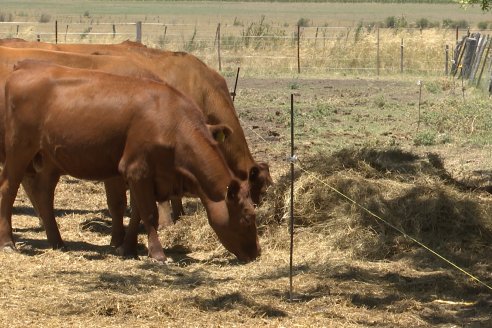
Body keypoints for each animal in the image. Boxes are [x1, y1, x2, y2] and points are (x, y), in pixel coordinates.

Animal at [0, 60, 262, 262]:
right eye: (248, 217)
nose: (257, 253)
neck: (172, 122)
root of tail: (23, 68)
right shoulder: (137, 169)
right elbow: (149, 214)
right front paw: (157, 254)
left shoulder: (148, 175)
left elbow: (136, 213)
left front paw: (128, 247)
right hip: (18, 152)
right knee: (8, 190)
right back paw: (8, 242)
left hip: (49, 162)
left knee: (43, 195)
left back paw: (57, 242)